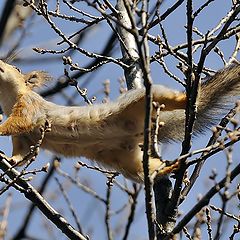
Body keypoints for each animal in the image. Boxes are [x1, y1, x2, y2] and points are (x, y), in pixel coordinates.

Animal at [0, 60, 240, 182]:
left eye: (17, 68)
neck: (9, 99)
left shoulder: (30, 107)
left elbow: (18, 122)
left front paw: (0, 127)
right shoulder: (24, 139)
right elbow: (21, 153)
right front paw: (9, 160)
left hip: (142, 101)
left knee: (167, 97)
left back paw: (189, 97)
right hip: (126, 161)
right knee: (145, 170)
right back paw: (167, 168)